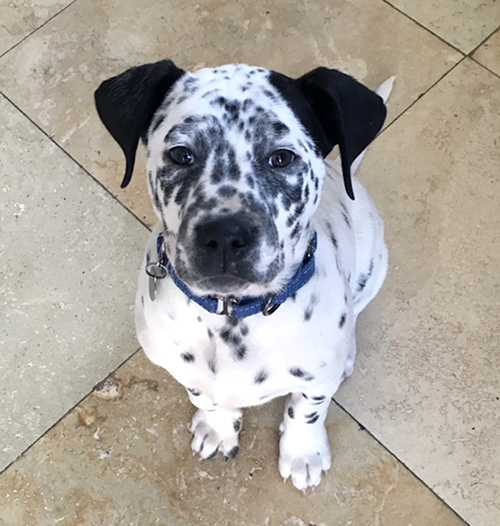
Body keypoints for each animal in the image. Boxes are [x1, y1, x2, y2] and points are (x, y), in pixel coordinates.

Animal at [94, 59, 394, 492]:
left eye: (281, 158)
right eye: (181, 154)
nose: (224, 236)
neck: (235, 316)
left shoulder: (316, 383)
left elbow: (307, 409)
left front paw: (302, 452)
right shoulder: (185, 371)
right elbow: (205, 398)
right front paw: (218, 427)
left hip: (374, 265)